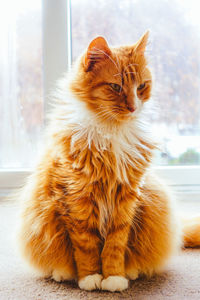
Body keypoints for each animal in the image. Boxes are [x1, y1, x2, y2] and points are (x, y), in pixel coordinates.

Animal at [17, 32, 200, 290]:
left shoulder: (125, 200)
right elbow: (86, 247)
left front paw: (114, 278)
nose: (133, 108)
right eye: (115, 87)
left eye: (141, 87)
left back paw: (132, 271)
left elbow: (115, 246)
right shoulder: (77, 200)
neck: (111, 131)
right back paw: (62, 273)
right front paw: (90, 278)